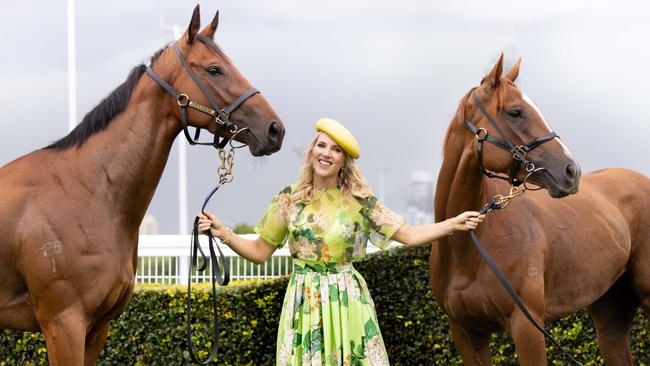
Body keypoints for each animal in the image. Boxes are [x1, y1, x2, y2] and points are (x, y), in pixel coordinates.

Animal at [430, 55, 648, 366]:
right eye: (515, 112)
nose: (571, 171)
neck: (467, 250)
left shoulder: (527, 327)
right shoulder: (466, 335)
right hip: (610, 310)